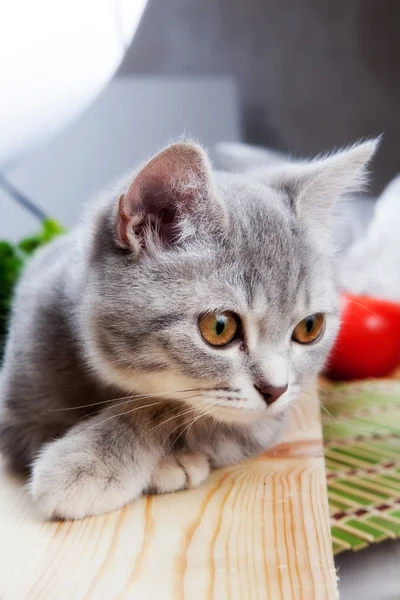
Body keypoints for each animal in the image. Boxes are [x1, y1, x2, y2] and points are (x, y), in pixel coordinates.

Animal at [0, 138, 376, 516]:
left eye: (309, 327)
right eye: (219, 327)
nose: (276, 390)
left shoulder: (266, 422)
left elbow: (167, 408)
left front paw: (90, 461)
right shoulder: (17, 416)